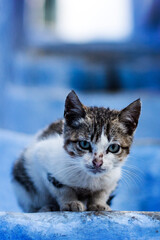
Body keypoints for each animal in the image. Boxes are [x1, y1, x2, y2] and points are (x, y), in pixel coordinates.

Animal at [11, 90, 141, 212]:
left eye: (113, 147)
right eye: (84, 144)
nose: (97, 162)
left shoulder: (113, 177)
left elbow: (102, 191)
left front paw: (98, 204)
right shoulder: (42, 157)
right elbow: (62, 187)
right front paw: (70, 202)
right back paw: (45, 208)